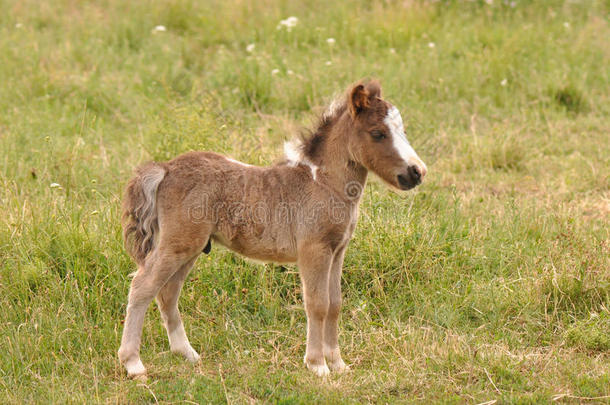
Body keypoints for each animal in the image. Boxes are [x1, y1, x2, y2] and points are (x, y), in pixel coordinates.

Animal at [116, 80, 426, 378]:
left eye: (403, 130)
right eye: (377, 133)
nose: (417, 172)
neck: (323, 183)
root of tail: (165, 169)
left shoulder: (337, 251)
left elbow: (335, 304)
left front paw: (338, 364)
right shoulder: (314, 250)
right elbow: (317, 304)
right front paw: (318, 365)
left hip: (190, 248)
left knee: (167, 292)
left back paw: (187, 353)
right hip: (178, 244)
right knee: (143, 286)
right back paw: (133, 364)